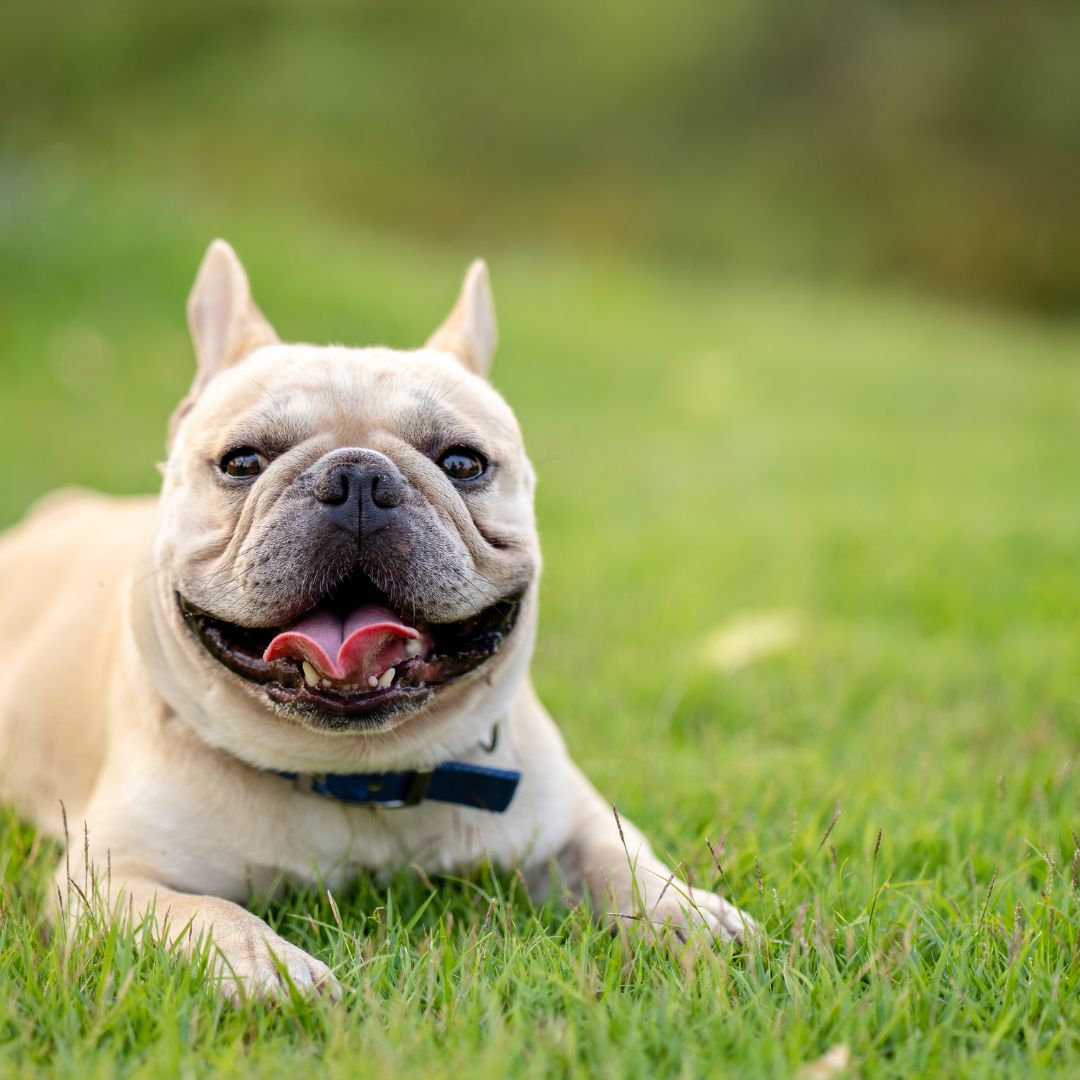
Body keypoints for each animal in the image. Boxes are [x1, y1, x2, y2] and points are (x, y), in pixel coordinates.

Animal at [0, 243, 756, 993]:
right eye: (242, 461)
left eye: (464, 462)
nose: (357, 477)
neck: (356, 776)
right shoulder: (109, 880)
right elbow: (204, 914)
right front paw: (270, 966)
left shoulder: (574, 820)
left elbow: (623, 862)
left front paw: (692, 914)